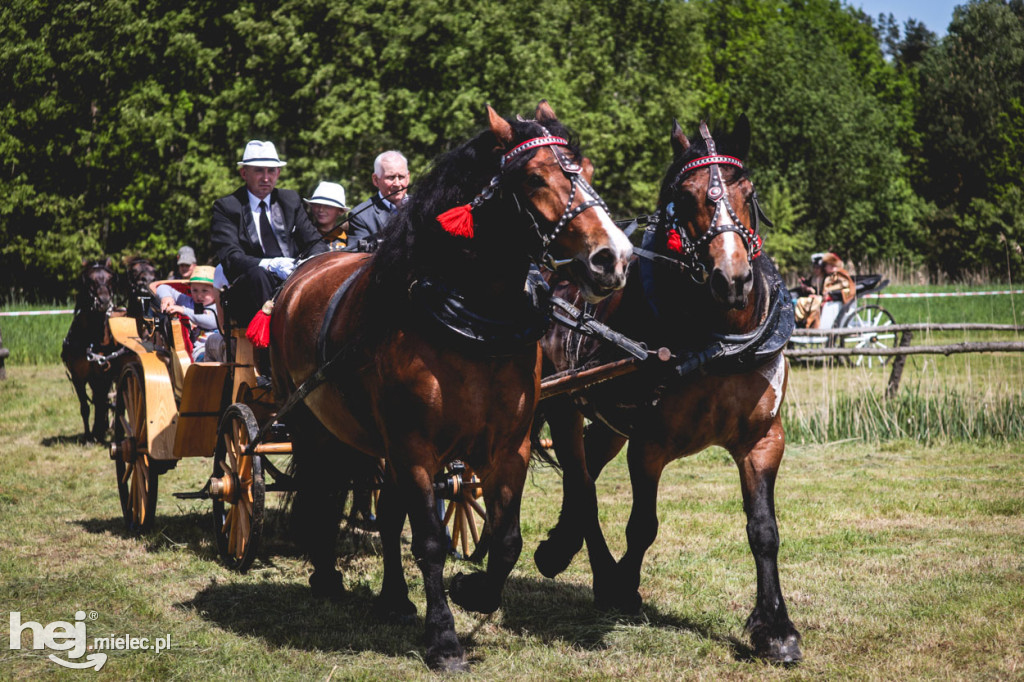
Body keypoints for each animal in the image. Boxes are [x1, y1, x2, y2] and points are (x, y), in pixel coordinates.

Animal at [61, 256, 128, 440]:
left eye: (110, 279)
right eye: (90, 280)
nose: (104, 302)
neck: (90, 340)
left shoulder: (103, 375)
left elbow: (101, 401)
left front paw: (99, 430)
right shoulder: (78, 377)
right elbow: (86, 407)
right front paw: (89, 436)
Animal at [532, 115, 802, 659]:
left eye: (748, 192)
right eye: (684, 195)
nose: (732, 279)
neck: (720, 341)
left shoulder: (764, 439)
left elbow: (764, 530)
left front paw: (775, 627)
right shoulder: (650, 445)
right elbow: (643, 526)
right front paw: (623, 588)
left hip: (607, 418)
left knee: (585, 473)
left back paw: (559, 548)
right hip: (565, 405)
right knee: (582, 486)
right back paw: (596, 573)